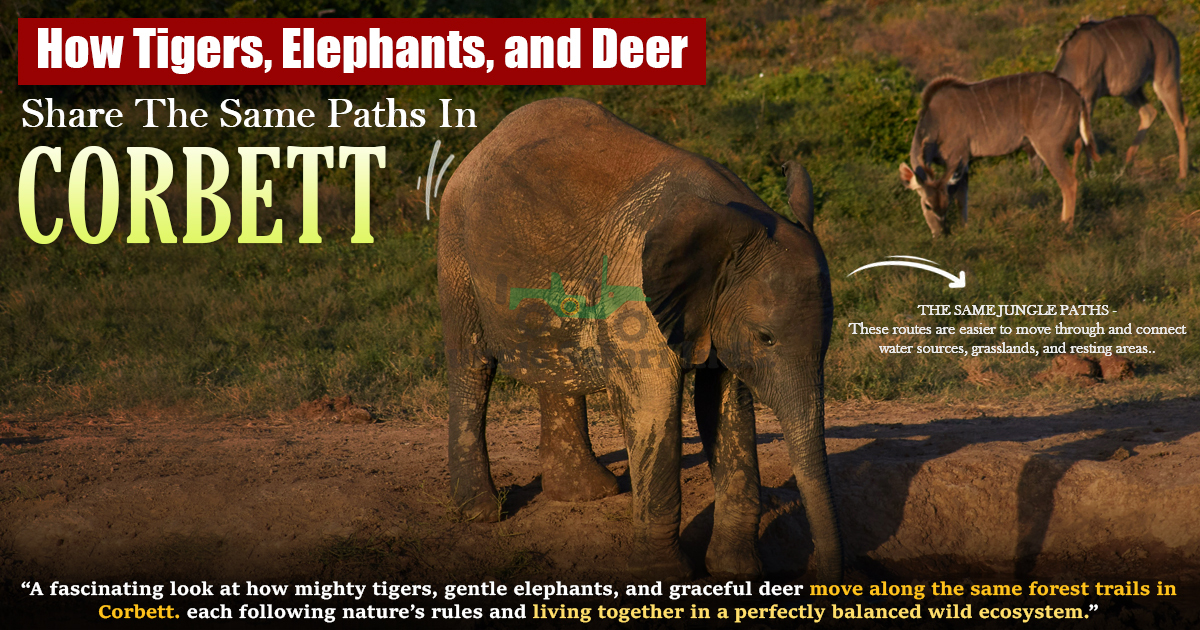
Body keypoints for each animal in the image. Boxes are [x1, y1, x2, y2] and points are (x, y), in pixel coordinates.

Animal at [437, 97, 841, 581]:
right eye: (766, 338)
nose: (819, 573)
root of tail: (486, 141)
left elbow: (726, 405)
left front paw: (736, 573)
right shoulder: (634, 289)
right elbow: (655, 402)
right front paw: (664, 576)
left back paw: (587, 494)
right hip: (455, 243)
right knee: (471, 363)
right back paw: (482, 512)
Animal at [899, 72, 1099, 237]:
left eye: (944, 204)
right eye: (928, 205)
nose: (941, 234)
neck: (937, 120)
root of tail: (1077, 96)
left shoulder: (959, 156)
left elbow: (961, 197)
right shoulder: (962, 164)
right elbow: (963, 195)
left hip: (1049, 146)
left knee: (1069, 182)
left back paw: (1065, 229)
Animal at [1054, 15, 1189, 180]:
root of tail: (1167, 33)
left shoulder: (1089, 98)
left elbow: (1083, 140)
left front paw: (1085, 176)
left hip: (1165, 79)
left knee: (1180, 122)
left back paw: (1183, 175)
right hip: (1131, 90)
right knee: (1149, 113)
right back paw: (1125, 166)